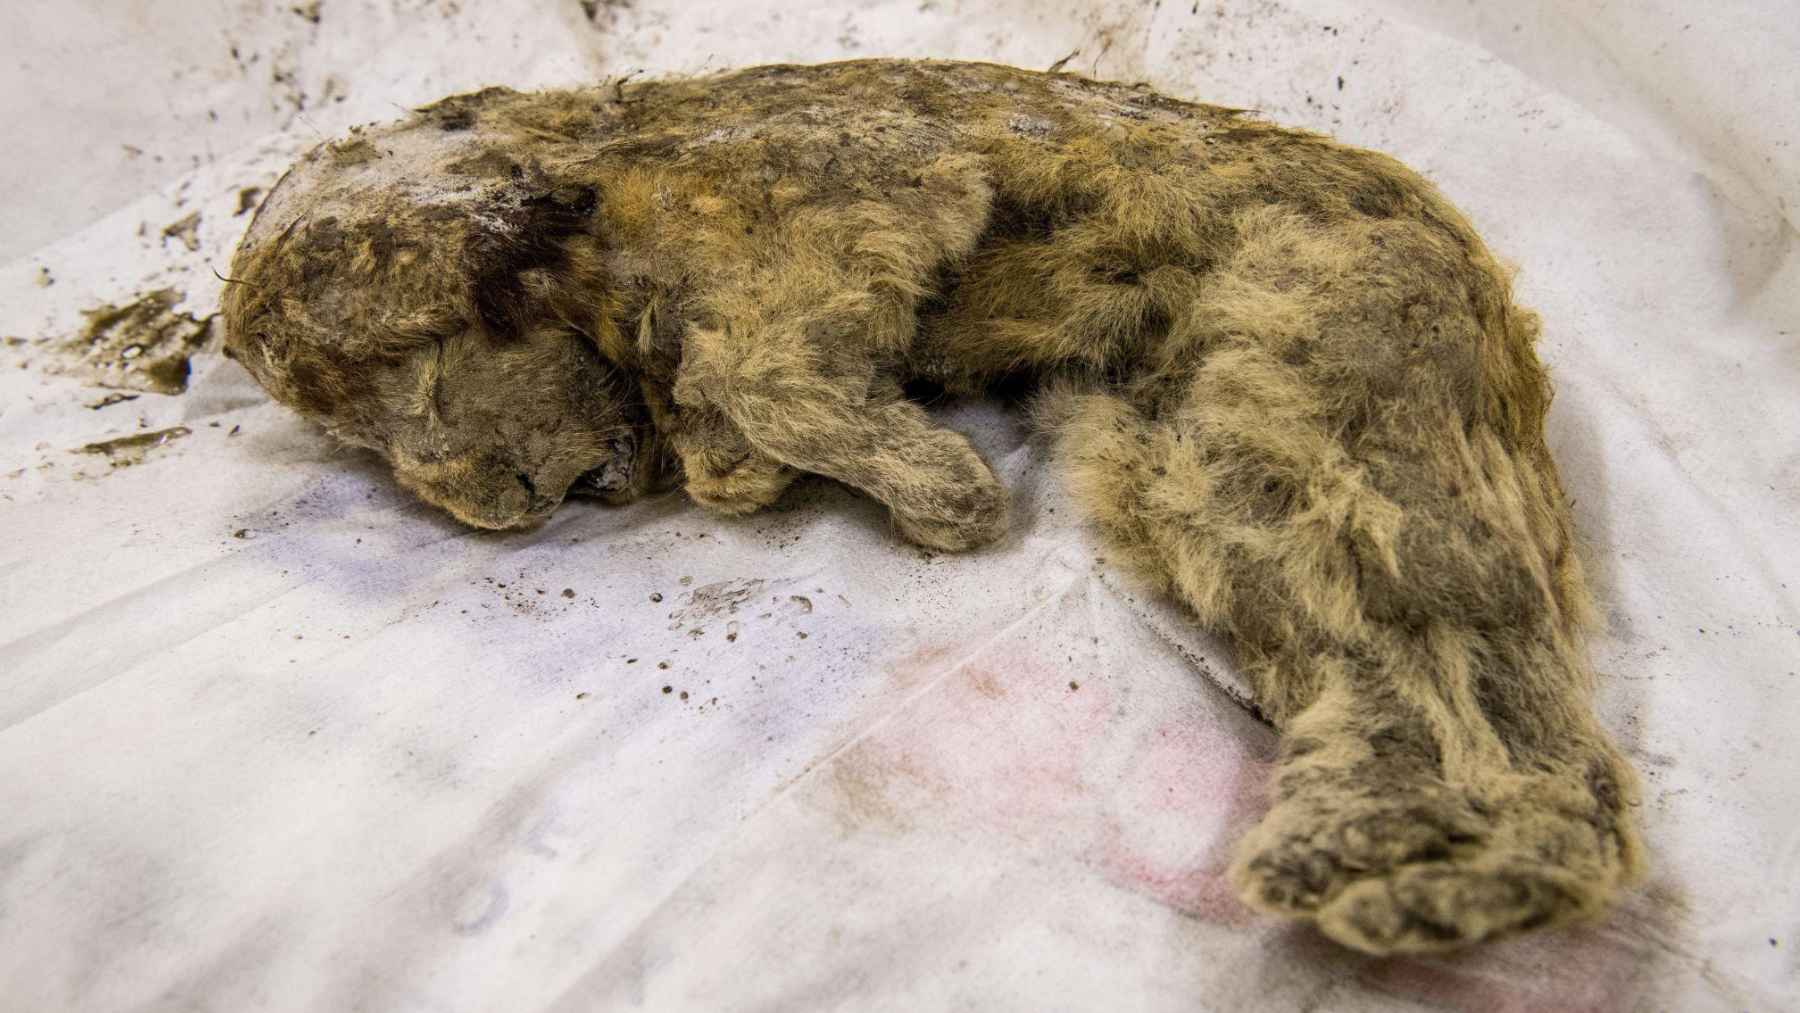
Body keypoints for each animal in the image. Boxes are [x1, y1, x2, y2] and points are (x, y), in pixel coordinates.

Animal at [221, 59, 1643, 954]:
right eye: (356, 438)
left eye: (415, 369)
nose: (499, 509)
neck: (602, 206)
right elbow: (727, 426)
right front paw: (771, 461)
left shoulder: (865, 197)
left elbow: (764, 371)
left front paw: (932, 483)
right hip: (1209, 467)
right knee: (1385, 669)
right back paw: (1366, 838)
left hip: (1321, 399)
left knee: (1510, 714)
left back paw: (1453, 873)